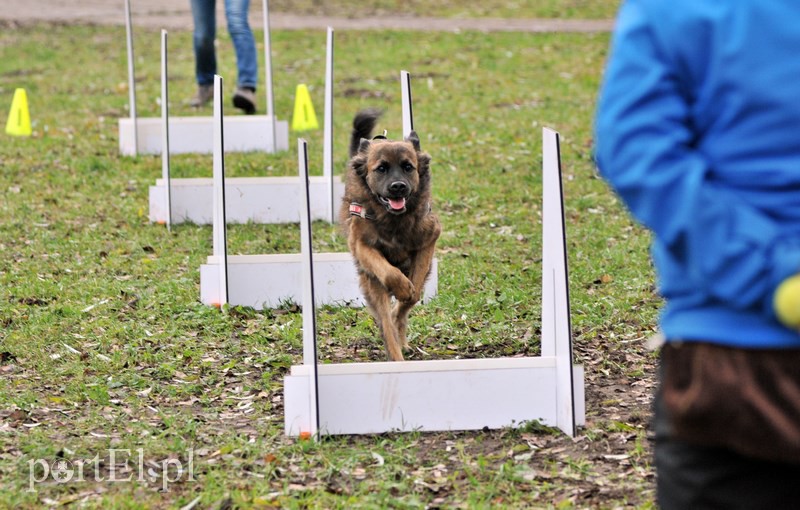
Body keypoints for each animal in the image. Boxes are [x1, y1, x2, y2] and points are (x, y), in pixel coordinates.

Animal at [340, 109, 440, 360]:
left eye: (408, 167)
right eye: (381, 168)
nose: (398, 187)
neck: (394, 219)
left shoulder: (429, 239)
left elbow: (414, 291)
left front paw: (408, 293)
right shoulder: (362, 245)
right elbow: (389, 273)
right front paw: (402, 287)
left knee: (397, 315)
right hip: (372, 285)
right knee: (385, 323)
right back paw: (396, 356)